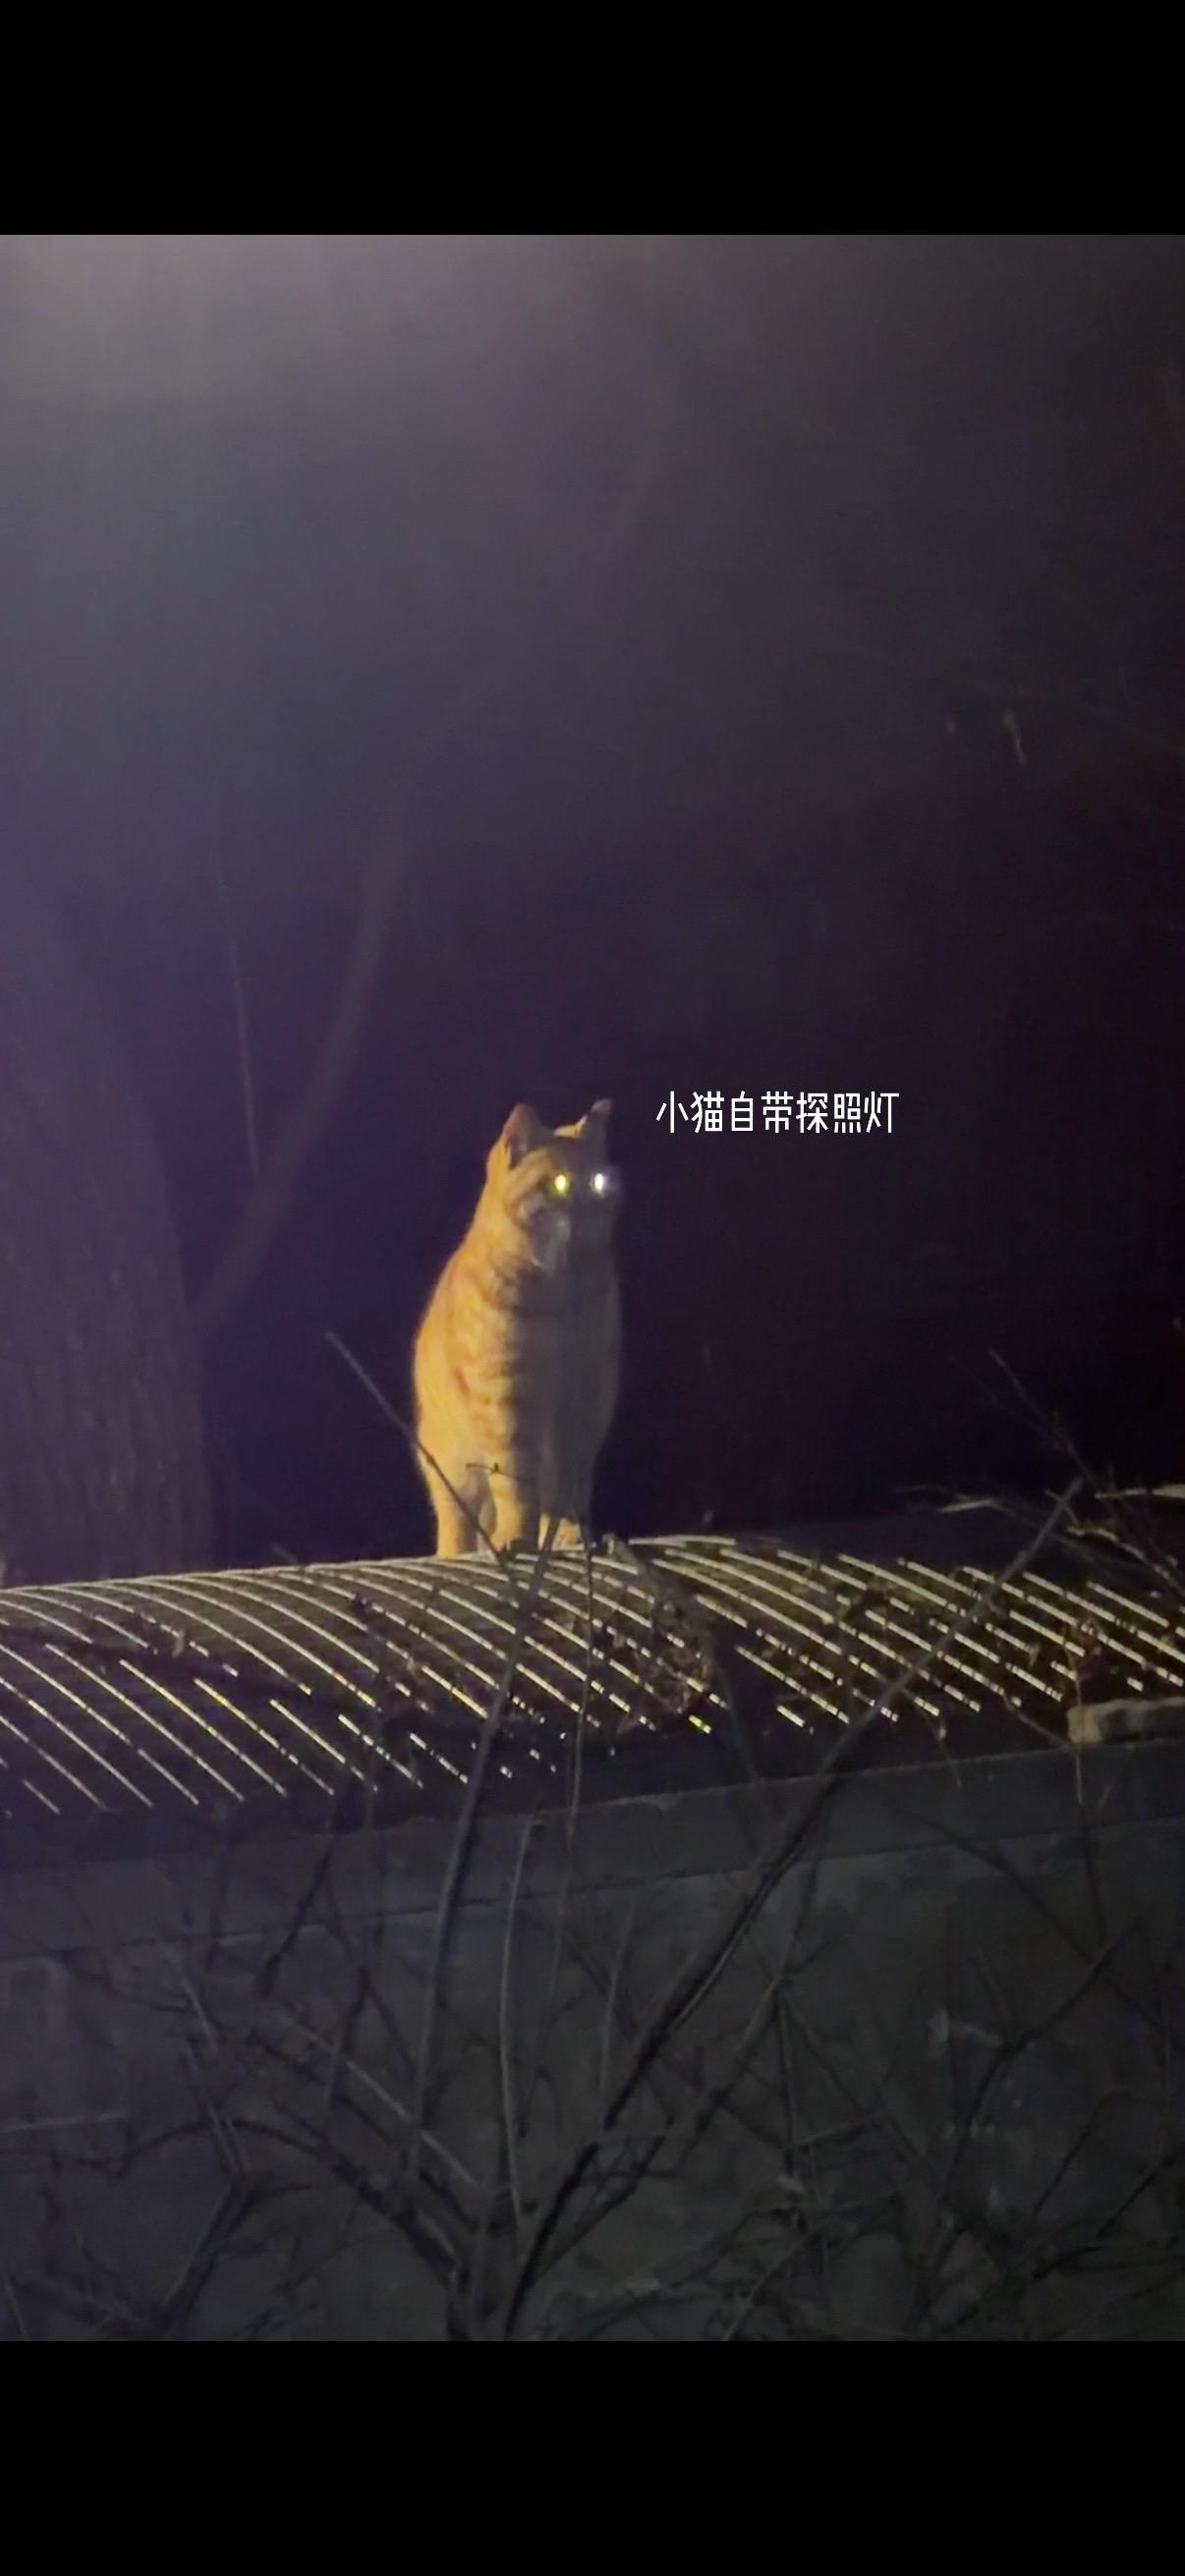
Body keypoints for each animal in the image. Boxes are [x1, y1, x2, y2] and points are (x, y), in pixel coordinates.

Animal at [412, 1100, 621, 1555]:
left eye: (598, 1183)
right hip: (451, 1472)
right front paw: (517, 1536)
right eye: (560, 1183)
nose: (593, 1210)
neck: (559, 1294)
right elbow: (515, 1482)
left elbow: (569, 1487)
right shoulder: (506, 1398)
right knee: (458, 1526)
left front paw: (568, 1533)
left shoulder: (582, 1401)